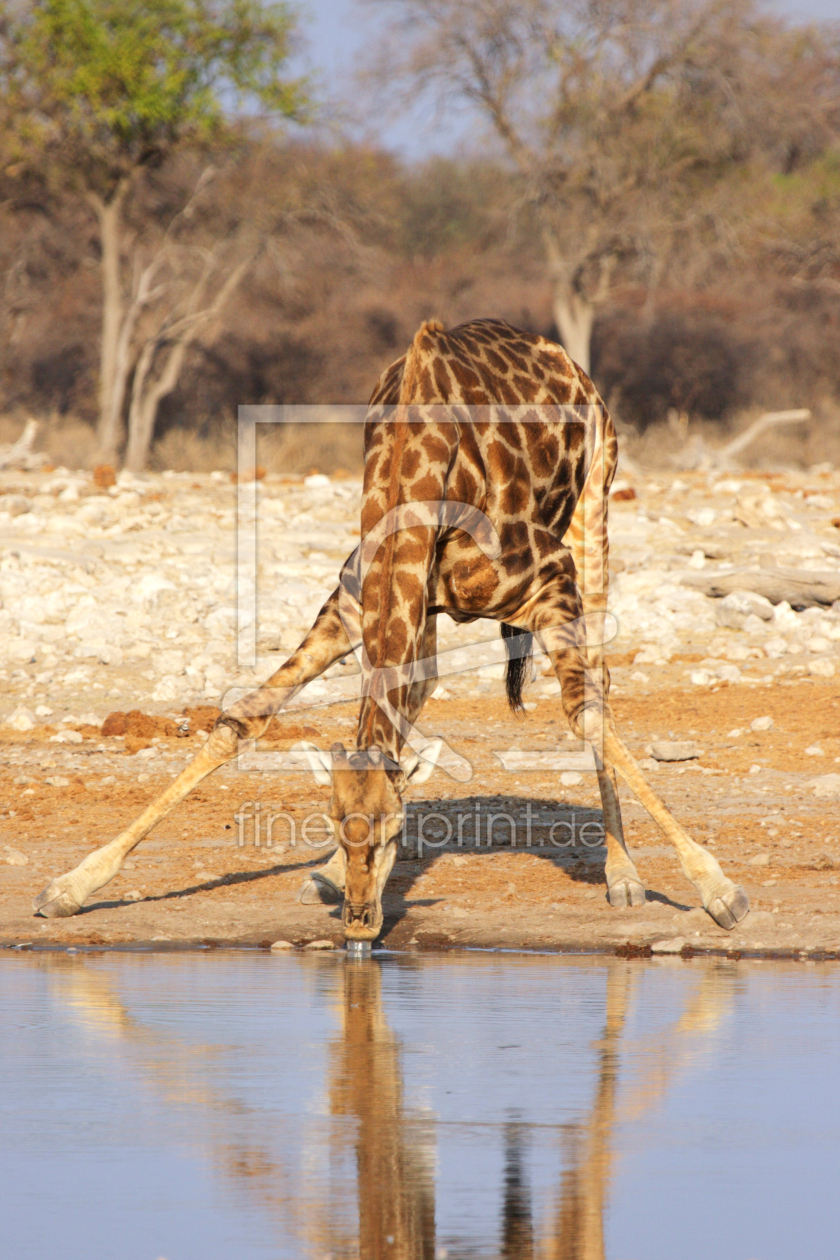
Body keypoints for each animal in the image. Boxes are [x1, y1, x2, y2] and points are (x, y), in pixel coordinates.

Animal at [33, 317, 750, 941]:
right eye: (333, 823)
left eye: (392, 837)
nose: (359, 926)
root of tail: (572, 365)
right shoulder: (354, 604)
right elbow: (246, 719)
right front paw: (69, 887)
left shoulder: (548, 579)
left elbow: (584, 710)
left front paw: (720, 892)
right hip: (429, 613)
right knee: (419, 692)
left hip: (593, 513)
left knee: (598, 681)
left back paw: (622, 875)